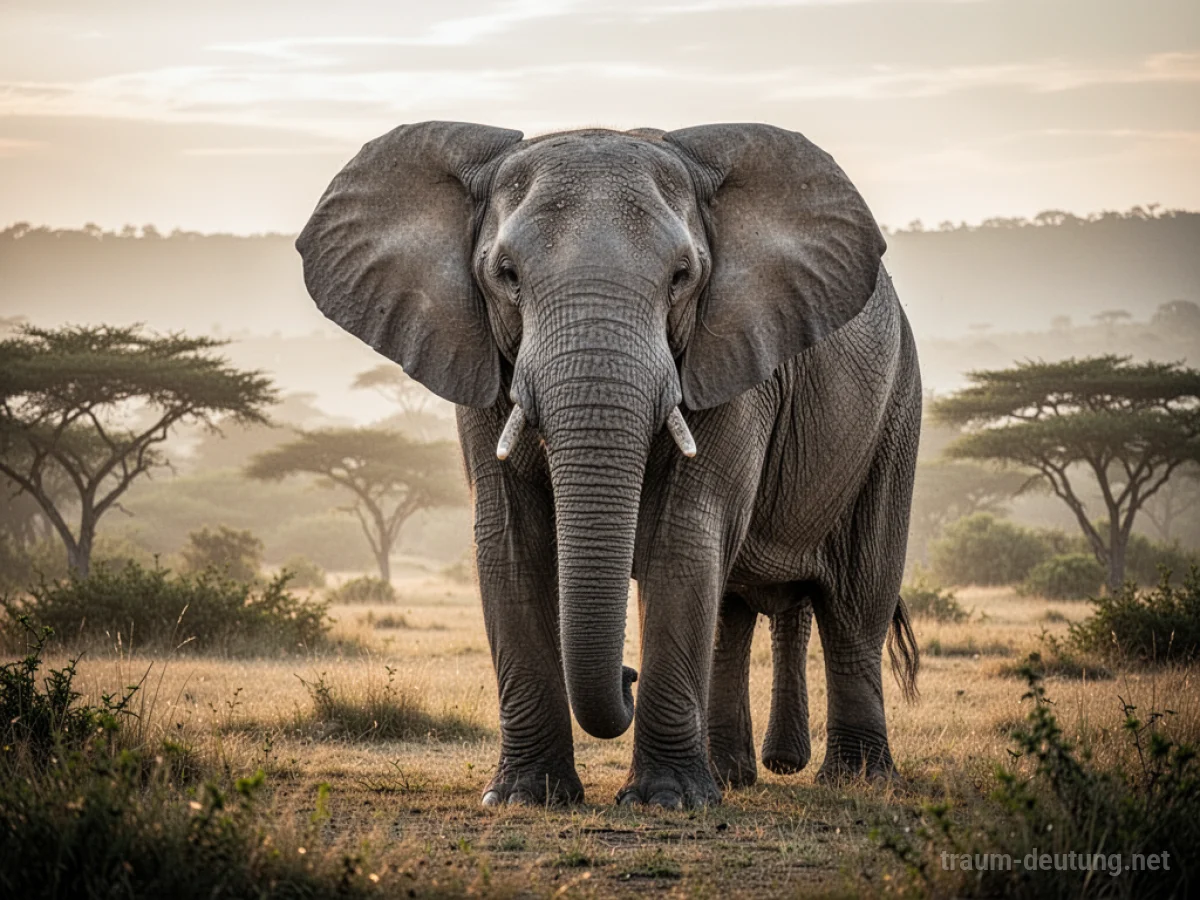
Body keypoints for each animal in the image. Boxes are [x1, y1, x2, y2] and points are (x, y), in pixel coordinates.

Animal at [297, 121, 921, 809]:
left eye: (682, 276)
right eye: (506, 275)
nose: (627, 674)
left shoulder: (730, 353)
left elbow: (682, 536)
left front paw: (666, 802)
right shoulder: (479, 358)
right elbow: (510, 541)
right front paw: (524, 798)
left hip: (897, 408)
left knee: (857, 599)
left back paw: (857, 779)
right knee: (731, 611)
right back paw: (732, 776)